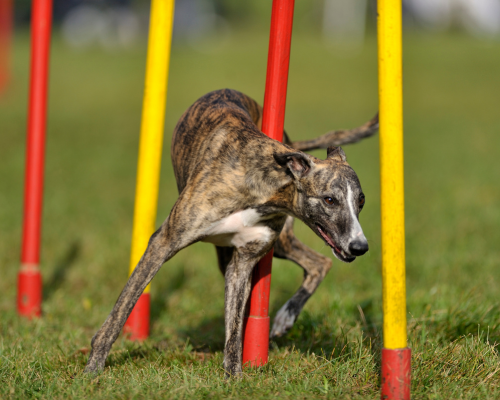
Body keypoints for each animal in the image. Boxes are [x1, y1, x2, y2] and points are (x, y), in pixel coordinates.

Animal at [84, 89, 378, 376]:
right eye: (329, 200)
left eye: (361, 200)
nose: (360, 247)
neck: (266, 182)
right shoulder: (163, 243)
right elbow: (124, 306)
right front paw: (93, 368)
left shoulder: (243, 262)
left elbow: (235, 329)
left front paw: (234, 376)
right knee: (319, 262)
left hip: (276, 244)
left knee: (321, 263)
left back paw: (285, 317)